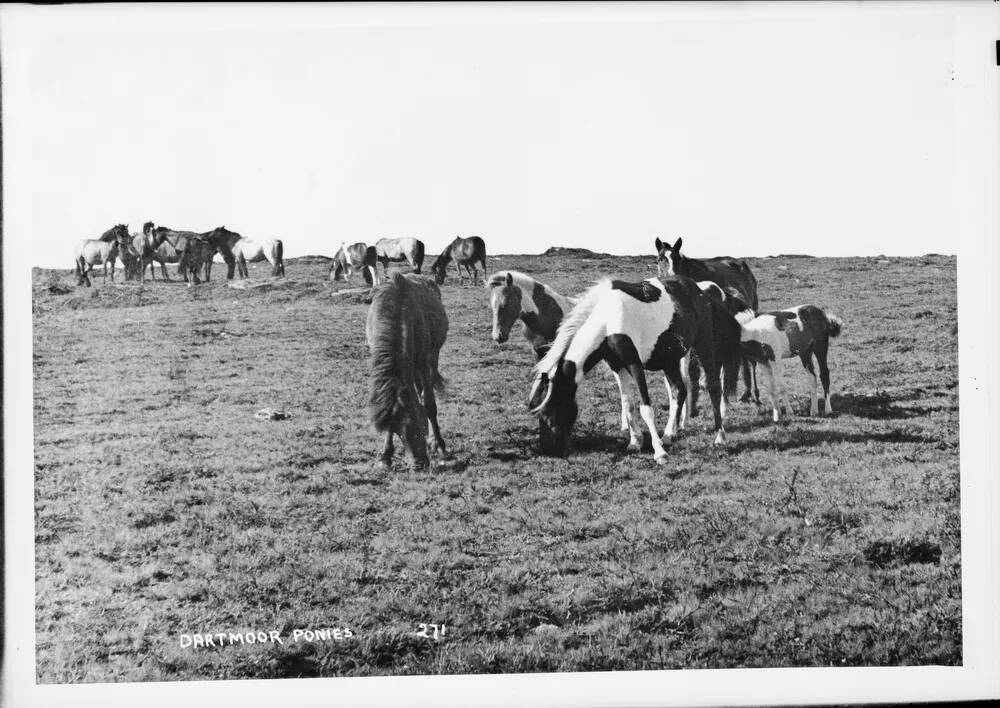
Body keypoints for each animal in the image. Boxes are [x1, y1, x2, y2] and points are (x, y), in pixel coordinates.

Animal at [368, 272, 450, 470]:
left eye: (419, 423)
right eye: (397, 430)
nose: (419, 463)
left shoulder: (424, 362)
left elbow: (429, 404)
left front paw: (439, 445)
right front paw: (385, 456)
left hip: (432, 357)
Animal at [528, 272, 732, 464]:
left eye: (548, 413)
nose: (550, 451)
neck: (608, 318)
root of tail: (697, 289)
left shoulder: (635, 365)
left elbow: (646, 409)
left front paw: (659, 453)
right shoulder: (618, 367)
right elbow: (628, 404)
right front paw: (635, 442)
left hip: (703, 345)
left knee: (713, 388)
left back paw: (720, 437)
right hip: (670, 360)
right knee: (679, 391)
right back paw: (669, 434)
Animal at [652, 238, 760, 404]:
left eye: (677, 260)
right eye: (660, 259)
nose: (671, 279)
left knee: (749, 358)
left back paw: (752, 392)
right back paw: (745, 392)